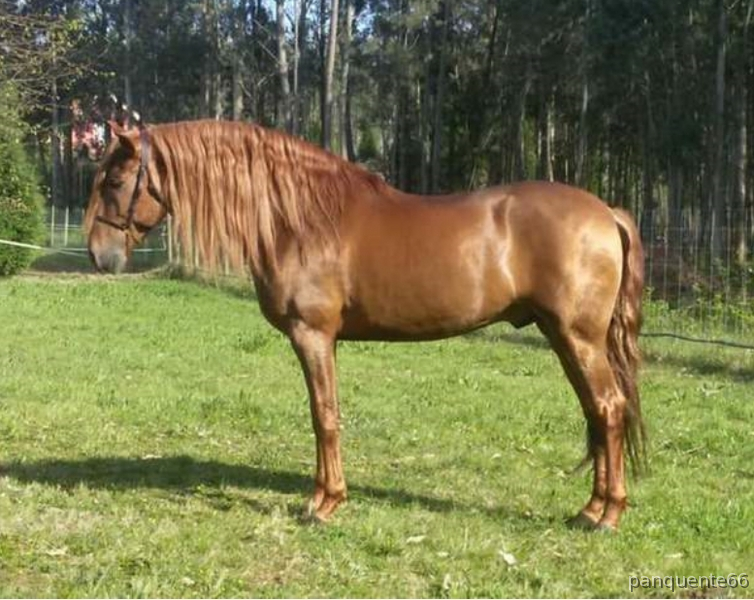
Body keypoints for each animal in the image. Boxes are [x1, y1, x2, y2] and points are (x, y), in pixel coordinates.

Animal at [85, 119, 646, 531]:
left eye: (114, 181)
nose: (99, 256)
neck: (298, 218)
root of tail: (606, 212)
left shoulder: (312, 335)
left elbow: (324, 417)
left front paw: (325, 504)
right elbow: (326, 415)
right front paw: (324, 496)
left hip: (577, 337)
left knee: (607, 408)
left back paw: (607, 514)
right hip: (564, 337)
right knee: (598, 413)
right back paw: (591, 508)